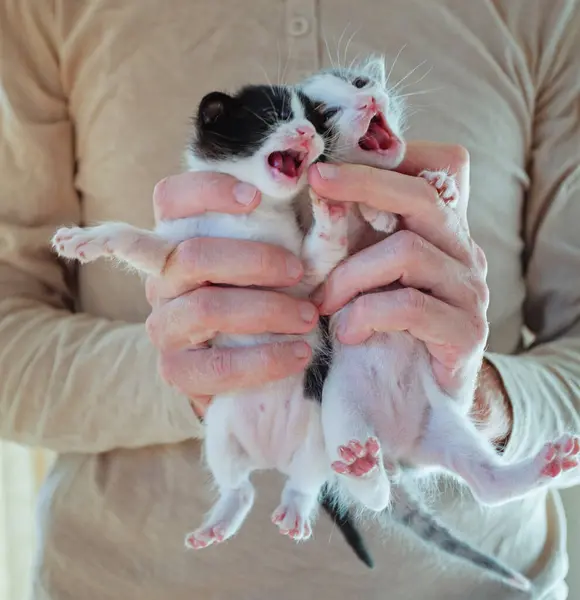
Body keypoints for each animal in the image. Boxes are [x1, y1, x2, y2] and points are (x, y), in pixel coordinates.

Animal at [52, 84, 356, 552]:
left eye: (315, 121)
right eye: (273, 114)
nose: (307, 132)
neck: (245, 213)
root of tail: (269, 457)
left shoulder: (302, 279)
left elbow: (321, 255)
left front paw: (331, 208)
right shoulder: (178, 253)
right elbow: (135, 240)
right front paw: (88, 238)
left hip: (316, 440)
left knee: (304, 482)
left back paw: (294, 511)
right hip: (220, 433)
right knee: (241, 488)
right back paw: (221, 520)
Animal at [300, 56, 580, 592]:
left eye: (360, 83)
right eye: (323, 112)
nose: (369, 101)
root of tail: (396, 449)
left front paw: (439, 186)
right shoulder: (317, 281)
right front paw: (371, 209)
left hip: (442, 422)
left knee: (484, 483)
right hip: (338, 412)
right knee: (372, 497)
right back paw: (363, 471)